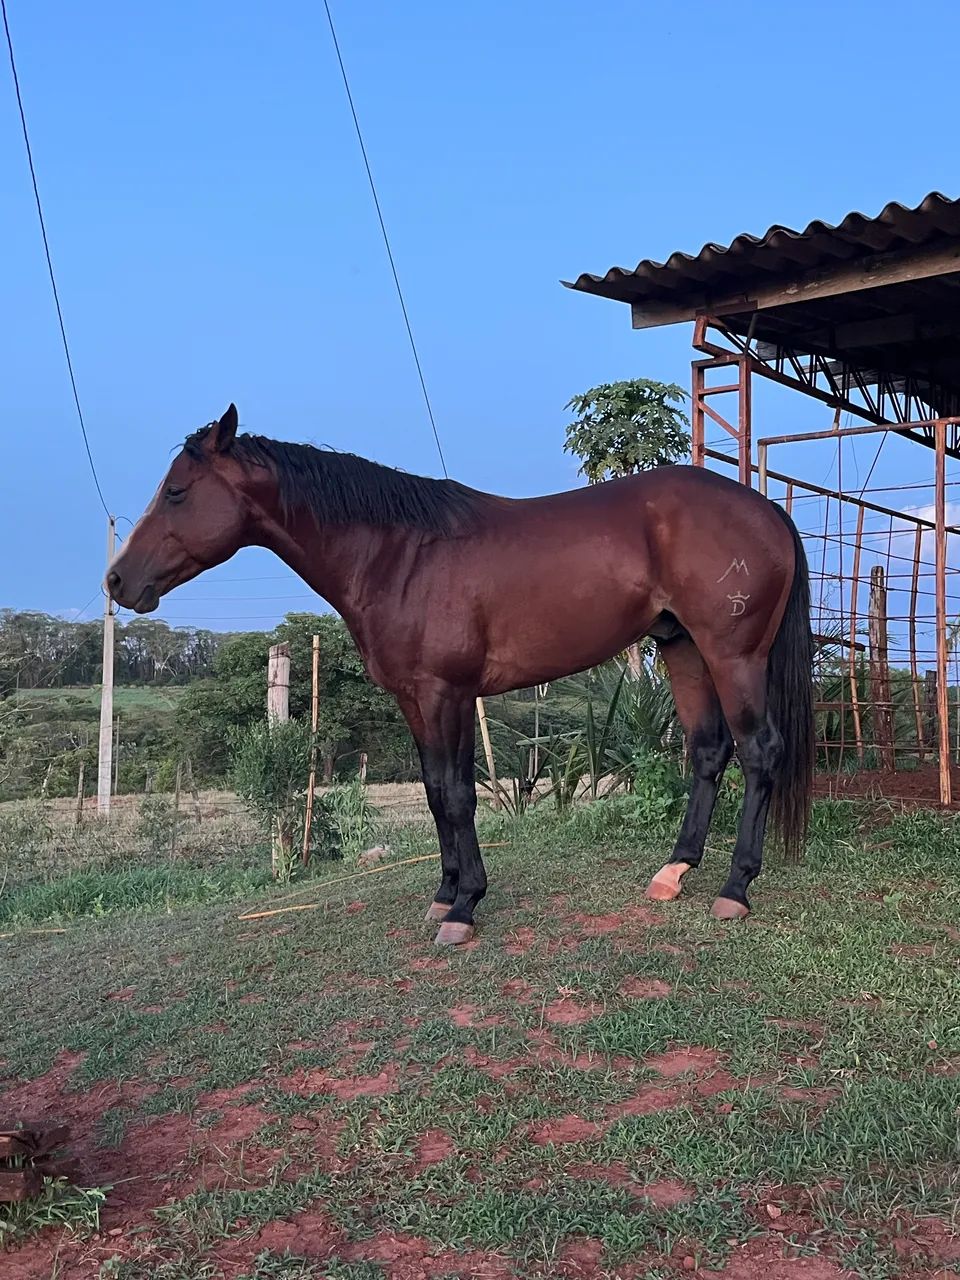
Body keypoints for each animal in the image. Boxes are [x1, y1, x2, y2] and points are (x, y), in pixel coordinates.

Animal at [107, 404, 814, 945]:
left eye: (177, 491)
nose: (117, 581)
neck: (401, 555)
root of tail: (766, 510)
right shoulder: (416, 699)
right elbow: (433, 792)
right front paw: (445, 893)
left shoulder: (447, 693)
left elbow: (457, 795)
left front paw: (466, 906)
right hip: (682, 648)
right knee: (708, 751)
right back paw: (674, 872)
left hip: (732, 655)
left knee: (759, 751)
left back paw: (735, 888)